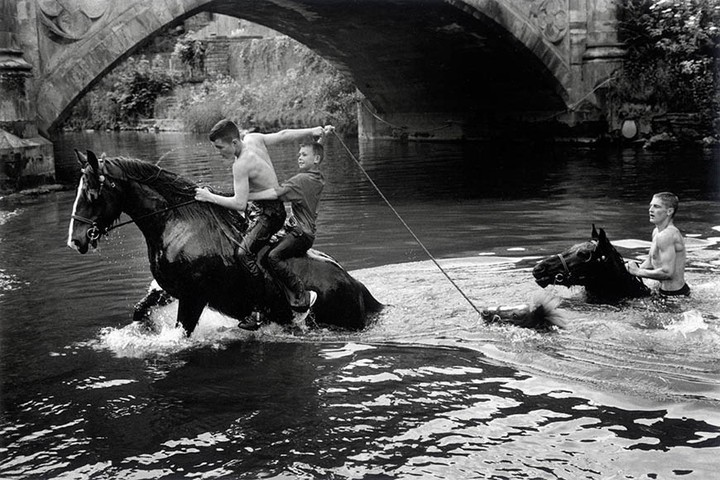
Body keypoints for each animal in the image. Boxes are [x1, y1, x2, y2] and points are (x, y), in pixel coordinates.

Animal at [67, 149, 383, 336]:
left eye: (92, 192)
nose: (75, 239)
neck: (176, 223)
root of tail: (357, 286)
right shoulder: (171, 288)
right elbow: (139, 310)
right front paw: (145, 329)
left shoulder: (193, 296)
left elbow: (181, 334)